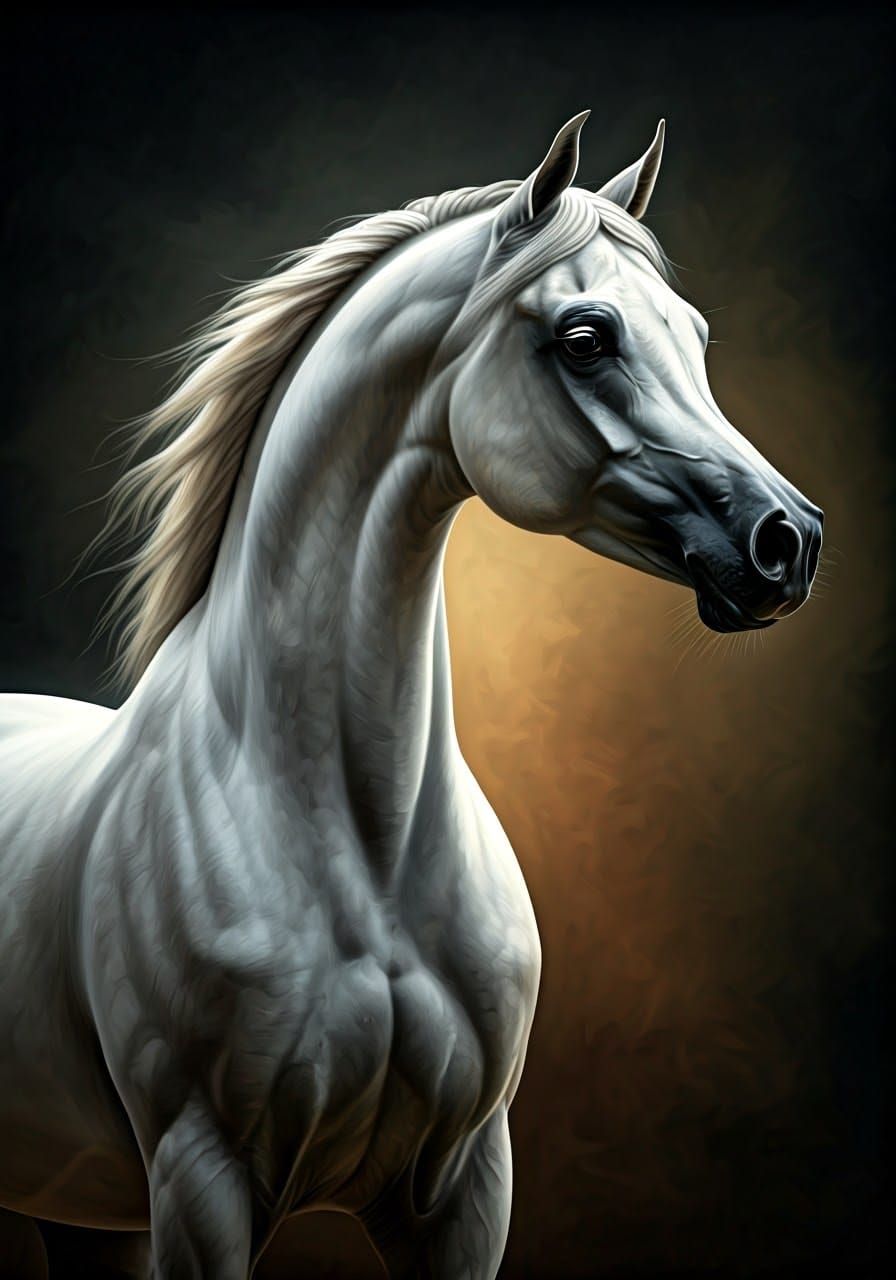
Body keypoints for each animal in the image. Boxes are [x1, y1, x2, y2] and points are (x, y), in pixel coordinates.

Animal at [0, 112, 823, 1279]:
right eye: (585, 337)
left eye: (696, 336)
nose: (786, 541)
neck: (363, 848)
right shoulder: (201, 1181)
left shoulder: (466, 1184)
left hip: (85, 1211)